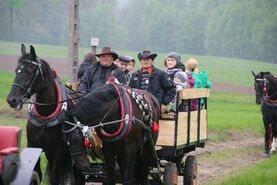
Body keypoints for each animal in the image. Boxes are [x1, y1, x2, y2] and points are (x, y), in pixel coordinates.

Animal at [6, 44, 73, 185]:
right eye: (16, 71)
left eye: (29, 72)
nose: (11, 99)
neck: (45, 119)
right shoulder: (33, 146)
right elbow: (37, 173)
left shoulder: (59, 150)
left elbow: (54, 178)